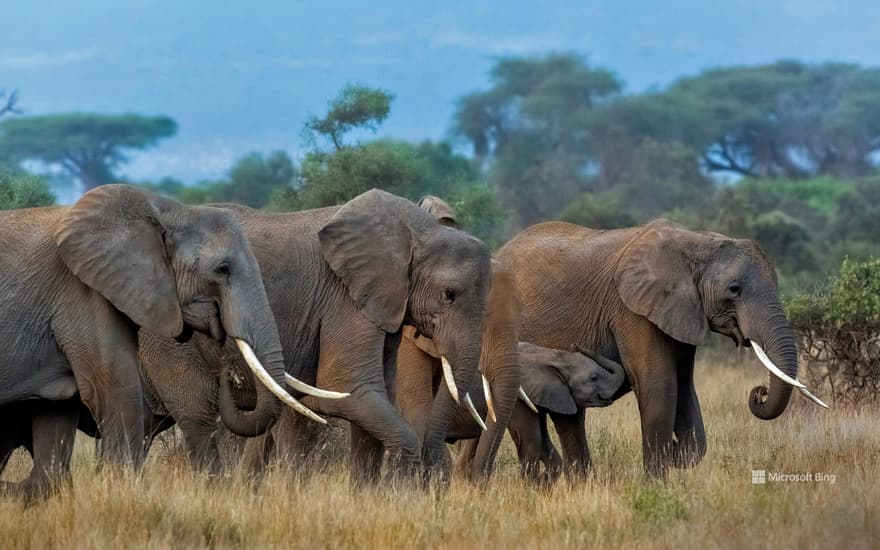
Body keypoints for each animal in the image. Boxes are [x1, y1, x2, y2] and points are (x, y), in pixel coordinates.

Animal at [0, 187, 326, 504]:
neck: (167, 211)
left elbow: (58, 415)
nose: (226, 372)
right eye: (223, 269)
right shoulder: (82, 294)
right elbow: (116, 393)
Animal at [140, 191, 492, 488]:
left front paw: (368, 499)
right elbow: (351, 389)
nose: (434, 472)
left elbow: (374, 399)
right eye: (449, 295)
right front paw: (402, 498)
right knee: (196, 412)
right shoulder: (344, 298)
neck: (416, 229)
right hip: (165, 331)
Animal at [508, 344, 624, 488]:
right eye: (594, 378)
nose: (575, 346)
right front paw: (532, 488)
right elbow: (530, 437)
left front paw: (542, 484)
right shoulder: (519, 399)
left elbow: (542, 437)